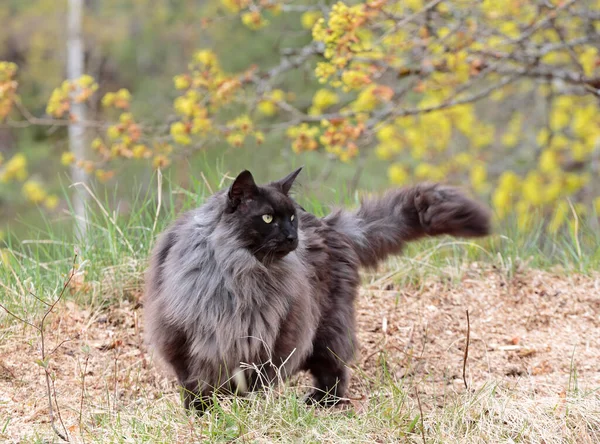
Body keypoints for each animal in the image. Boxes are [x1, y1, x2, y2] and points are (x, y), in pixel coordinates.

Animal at [143, 168, 490, 412]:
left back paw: (320, 403)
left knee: (334, 371)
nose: (292, 237)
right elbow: (193, 383)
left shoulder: (266, 338)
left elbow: (255, 383)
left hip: (327, 328)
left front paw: (247, 412)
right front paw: (202, 413)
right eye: (267, 218)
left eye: (291, 218)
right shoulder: (183, 338)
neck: (236, 275)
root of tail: (330, 225)